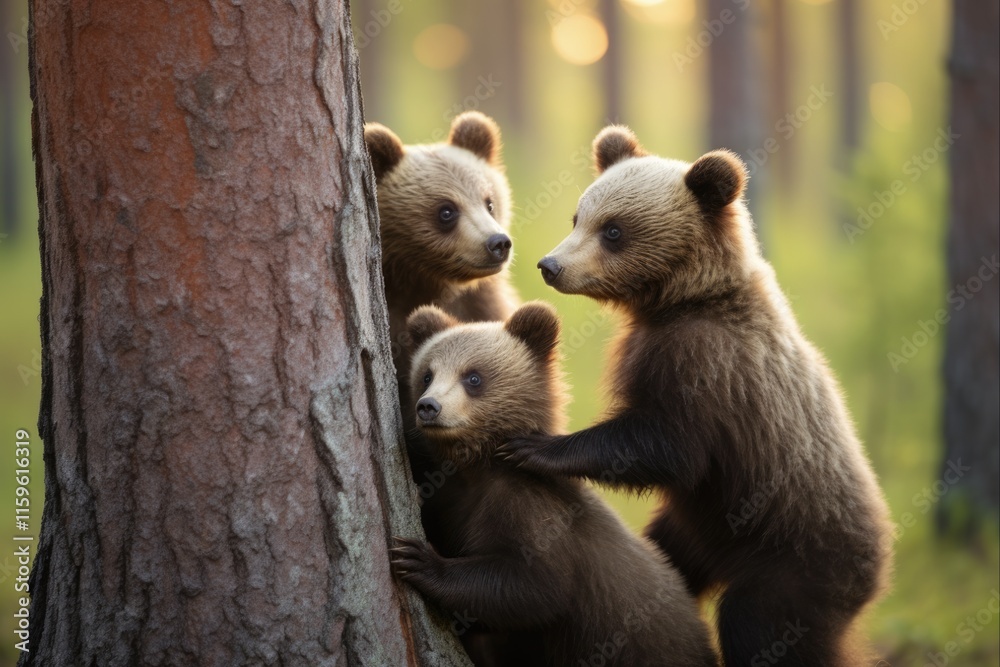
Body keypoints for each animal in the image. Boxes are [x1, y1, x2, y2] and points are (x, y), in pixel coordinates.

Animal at [391, 302, 719, 667]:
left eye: (473, 376)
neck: (477, 471)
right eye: (427, 374)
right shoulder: (451, 500)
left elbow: (533, 587)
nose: (428, 406)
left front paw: (419, 559)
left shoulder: (531, 508)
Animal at [501, 126, 893, 666]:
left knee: (761, 626)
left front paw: (536, 446)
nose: (550, 265)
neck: (680, 300)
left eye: (614, 230)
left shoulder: (706, 368)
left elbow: (666, 446)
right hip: (695, 530)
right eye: (579, 216)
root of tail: (877, 568)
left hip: (790, 554)